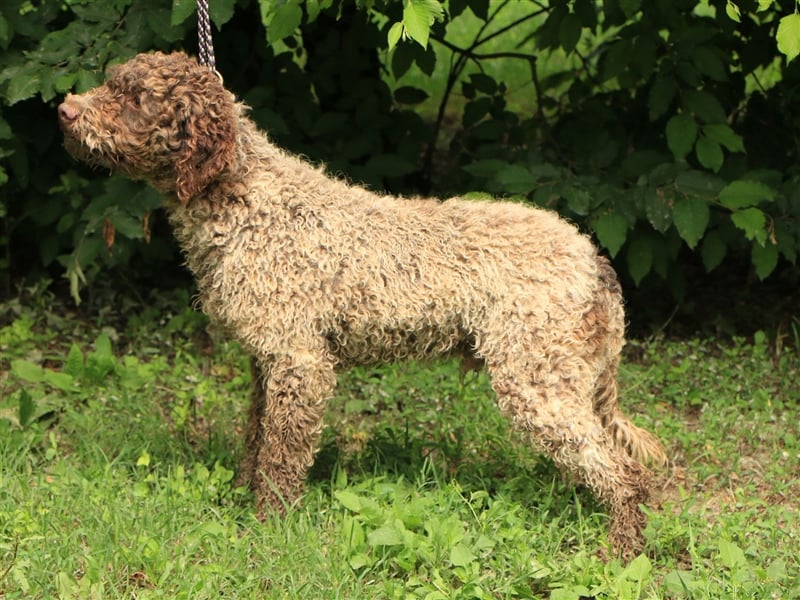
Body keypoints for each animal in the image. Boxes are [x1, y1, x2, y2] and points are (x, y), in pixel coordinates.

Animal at [59, 52, 664, 564]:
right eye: (112, 82)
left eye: (137, 98)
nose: (65, 111)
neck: (247, 198)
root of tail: (592, 256)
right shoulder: (266, 361)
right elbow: (257, 438)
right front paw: (243, 495)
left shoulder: (300, 362)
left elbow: (282, 455)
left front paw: (269, 526)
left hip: (534, 378)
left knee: (624, 474)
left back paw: (618, 554)